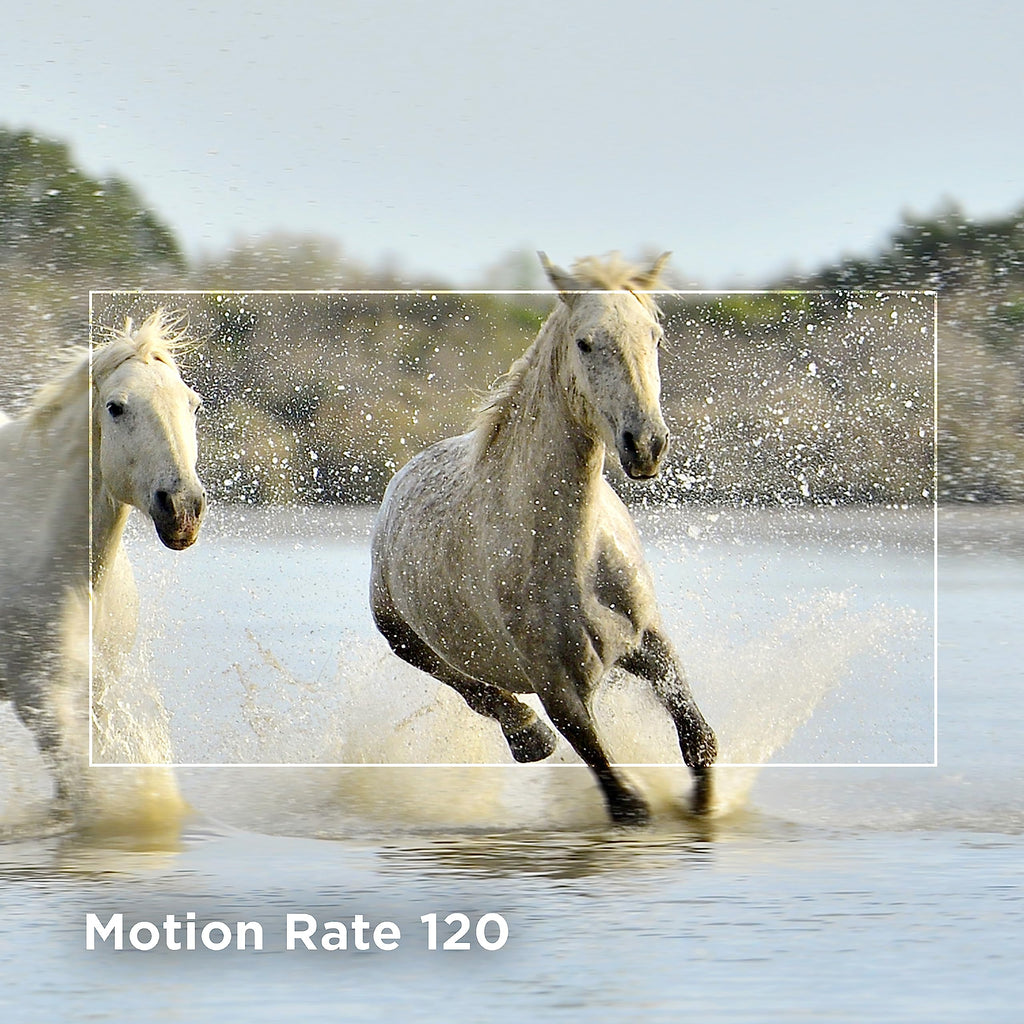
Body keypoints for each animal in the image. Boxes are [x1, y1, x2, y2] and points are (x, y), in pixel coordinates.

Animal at [370, 252, 717, 824]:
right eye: (585, 343)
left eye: (655, 335)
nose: (646, 444)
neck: (574, 556)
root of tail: (402, 478)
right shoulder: (560, 691)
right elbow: (623, 800)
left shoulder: (651, 644)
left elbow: (699, 740)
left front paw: (704, 808)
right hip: (400, 633)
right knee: (472, 689)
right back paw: (528, 738)